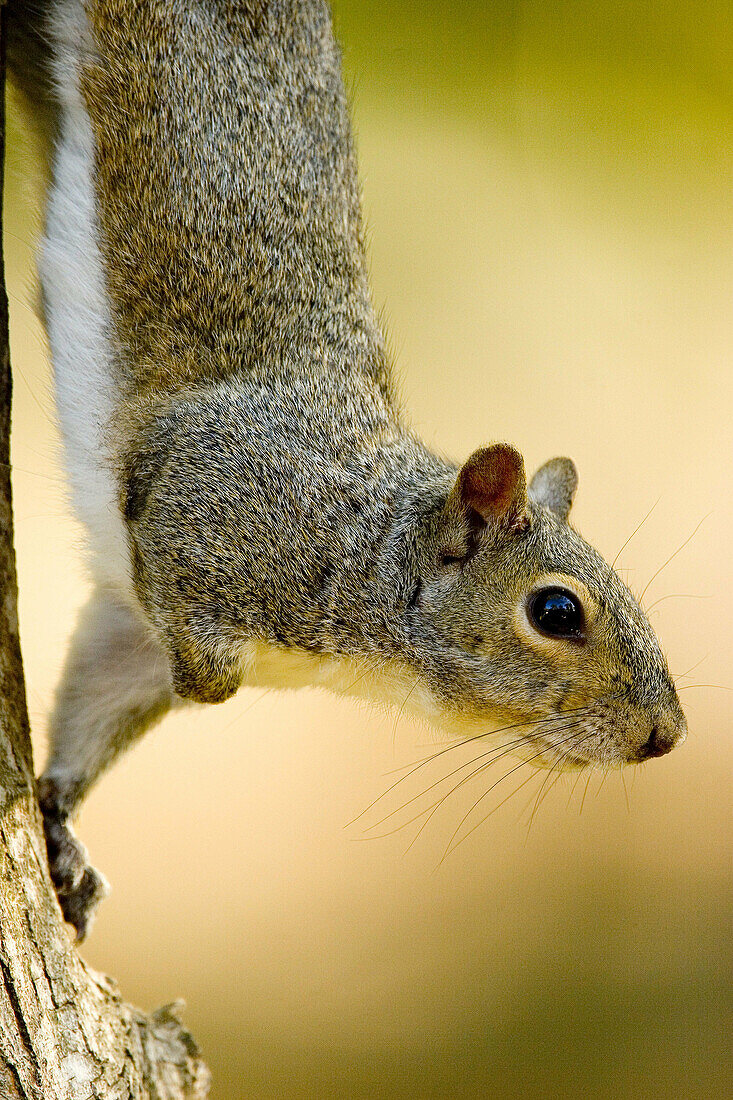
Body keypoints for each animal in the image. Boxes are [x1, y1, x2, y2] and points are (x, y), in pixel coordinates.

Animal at [9, 2, 686, 946]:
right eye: (555, 612)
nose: (665, 735)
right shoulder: (208, 503)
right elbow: (202, 667)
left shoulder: (131, 635)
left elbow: (98, 698)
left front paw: (62, 823)